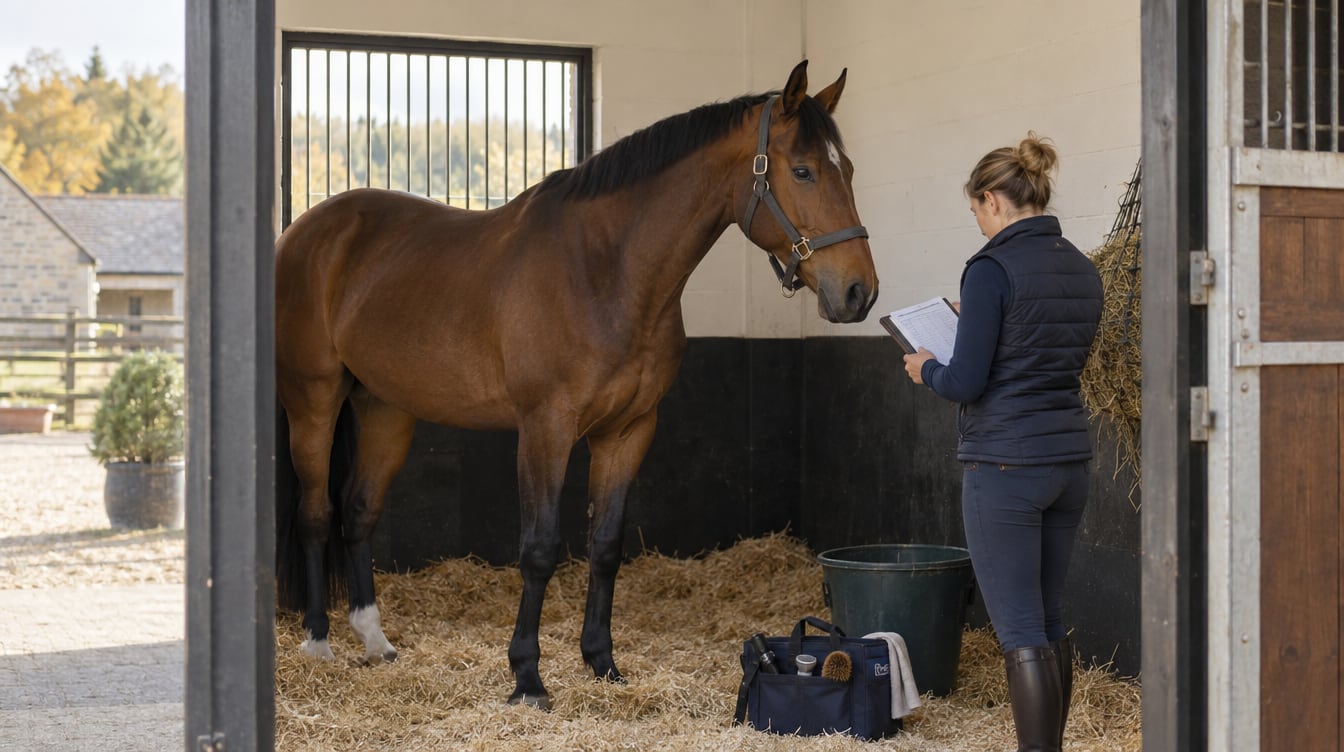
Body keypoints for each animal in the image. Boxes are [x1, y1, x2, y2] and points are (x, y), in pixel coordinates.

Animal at [274, 59, 878, 709]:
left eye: (847, 169)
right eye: (803, 170)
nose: (858, 293)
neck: (604, 269)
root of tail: (305, 231)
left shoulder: (628, 431)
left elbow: (606, 547)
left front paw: (602, 662)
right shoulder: (546, 428)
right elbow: (539, 550)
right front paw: (527, 679)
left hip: (386, 408)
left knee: (358, 511)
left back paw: (374, 640)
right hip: (314, 402)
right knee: (316, 513)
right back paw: (318, 642)